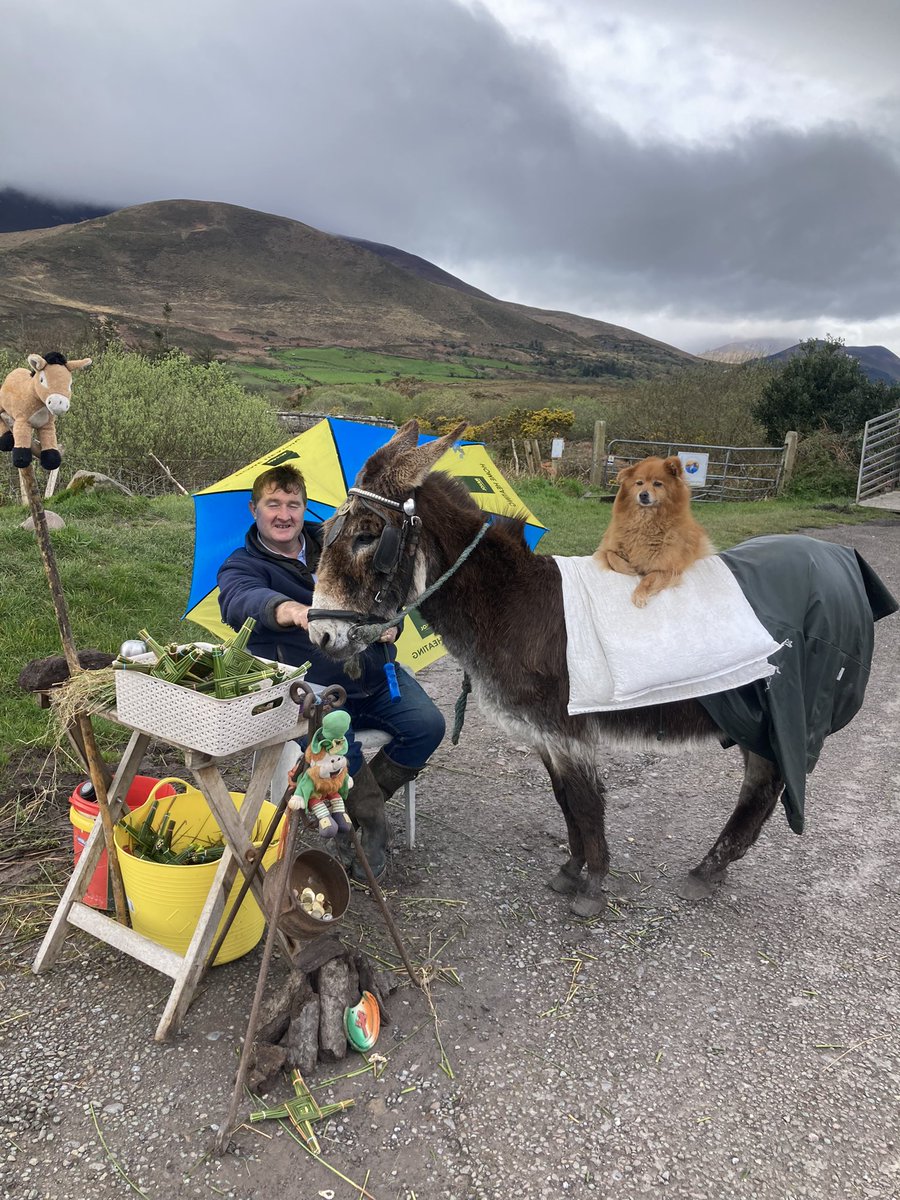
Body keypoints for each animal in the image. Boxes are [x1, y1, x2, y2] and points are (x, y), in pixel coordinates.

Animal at [595, 458, 715, 609]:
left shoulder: (666, 569)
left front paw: (639, 595)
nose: (643, 494)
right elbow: (611, 555)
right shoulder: (607, 546)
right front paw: (628, 568)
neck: (645, 522)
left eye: (657, 484)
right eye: (639, 483)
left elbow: (647, 579)